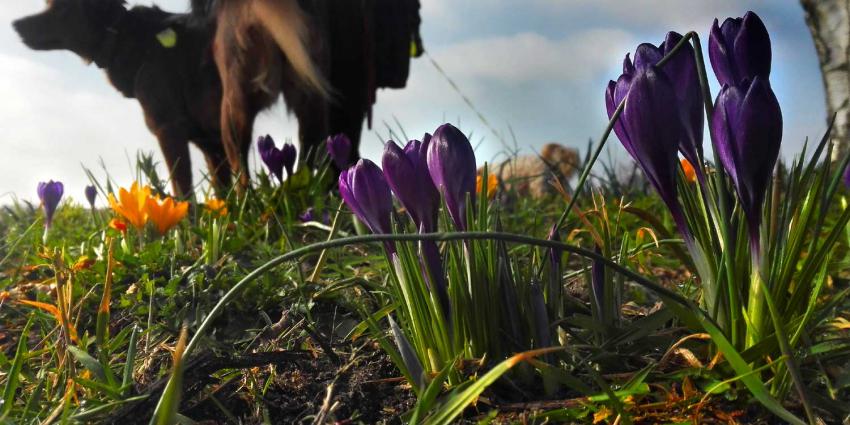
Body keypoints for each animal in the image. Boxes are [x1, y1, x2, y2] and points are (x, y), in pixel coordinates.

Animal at [14, 0, 227, 197]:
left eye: (61, 7)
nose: (15, 25)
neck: (118, 37)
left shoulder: (169, 129)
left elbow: (184, 195)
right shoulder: (211, 145)